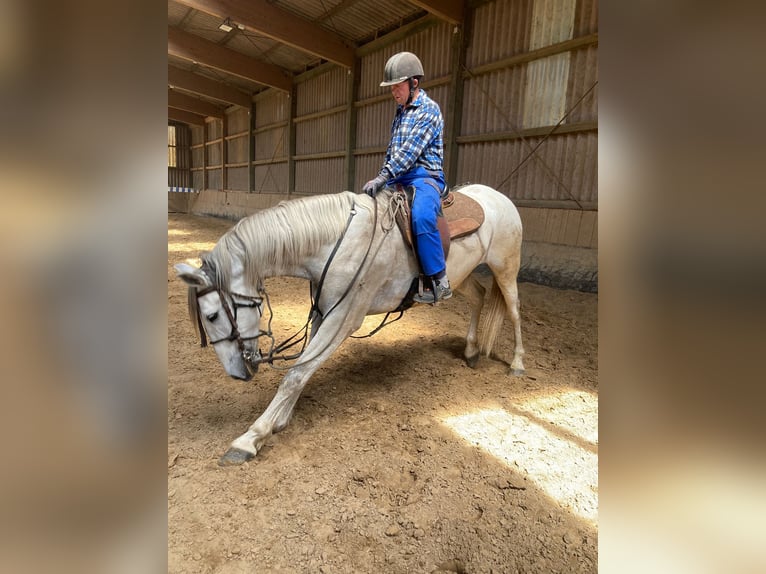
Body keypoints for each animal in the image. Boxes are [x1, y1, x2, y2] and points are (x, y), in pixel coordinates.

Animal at [174, 184, 525, 465]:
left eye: (212, 316)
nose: (237, 374)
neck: (337, 243)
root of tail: (498, 197)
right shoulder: (325, 312)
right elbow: (301, 368)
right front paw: (281, 418)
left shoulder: (344, 319)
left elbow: (297, 373)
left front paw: (252, 437)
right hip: (461, 277)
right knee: (479, 298)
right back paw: (471, 351)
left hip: (506, 269)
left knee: (514, 311)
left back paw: (517, 364)